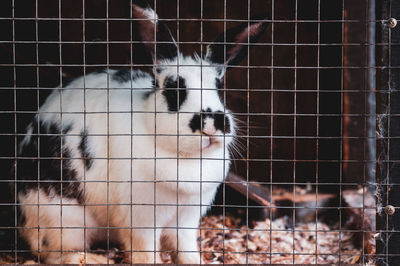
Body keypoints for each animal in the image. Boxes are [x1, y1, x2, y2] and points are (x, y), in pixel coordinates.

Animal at [14, 0, 268, 264]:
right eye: (174, 90)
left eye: (218, 88)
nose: (213, 123)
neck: (186, 158)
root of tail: (24, 223)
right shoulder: (141, 217)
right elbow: (144, 248)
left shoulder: (186, 218)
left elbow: (185, 246)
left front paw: (195, 262)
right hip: (64, 219)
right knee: (60, 254)